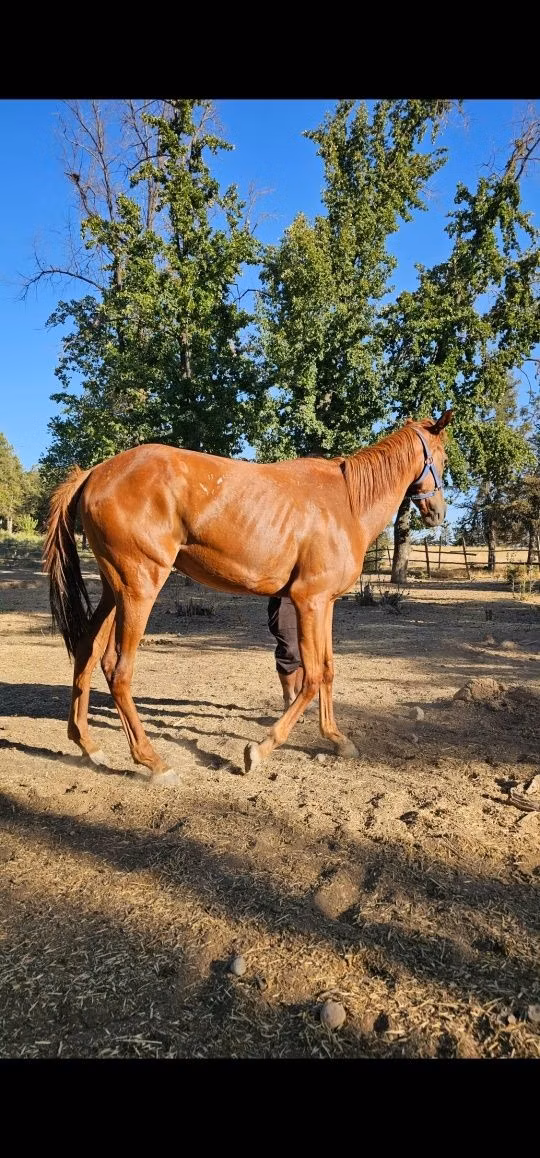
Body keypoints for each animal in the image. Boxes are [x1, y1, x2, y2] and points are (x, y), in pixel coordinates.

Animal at [44, 411, 453, 785]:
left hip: (115, 590)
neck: (346, 502)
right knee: (118, 670)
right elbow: (312, 676)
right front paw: (260, 749)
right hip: (139, 587)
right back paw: (153, 762)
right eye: (443, 459)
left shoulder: (326, 604)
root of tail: (95, 473)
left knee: (87, 651)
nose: (438, 513)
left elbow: (328, 670)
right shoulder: (309, 601)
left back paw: (87, 744)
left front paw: (336, 739)